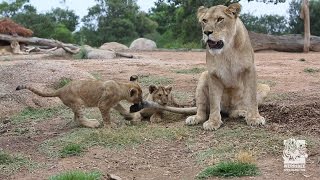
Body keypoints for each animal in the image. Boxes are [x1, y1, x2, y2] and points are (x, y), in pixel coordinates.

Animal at [186, 3, 268, 131]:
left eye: (220, 19)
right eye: (204, 20)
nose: (207, 32)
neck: (227, 50)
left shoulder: (250, 69)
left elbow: (252, 98)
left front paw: (254, 118)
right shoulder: (212, 74)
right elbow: (214, 101)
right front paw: (213, 122)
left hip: (265, 87)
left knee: (234, 112)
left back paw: (242, 112)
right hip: (203, 76)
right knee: (203, 110)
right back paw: (195, 118)